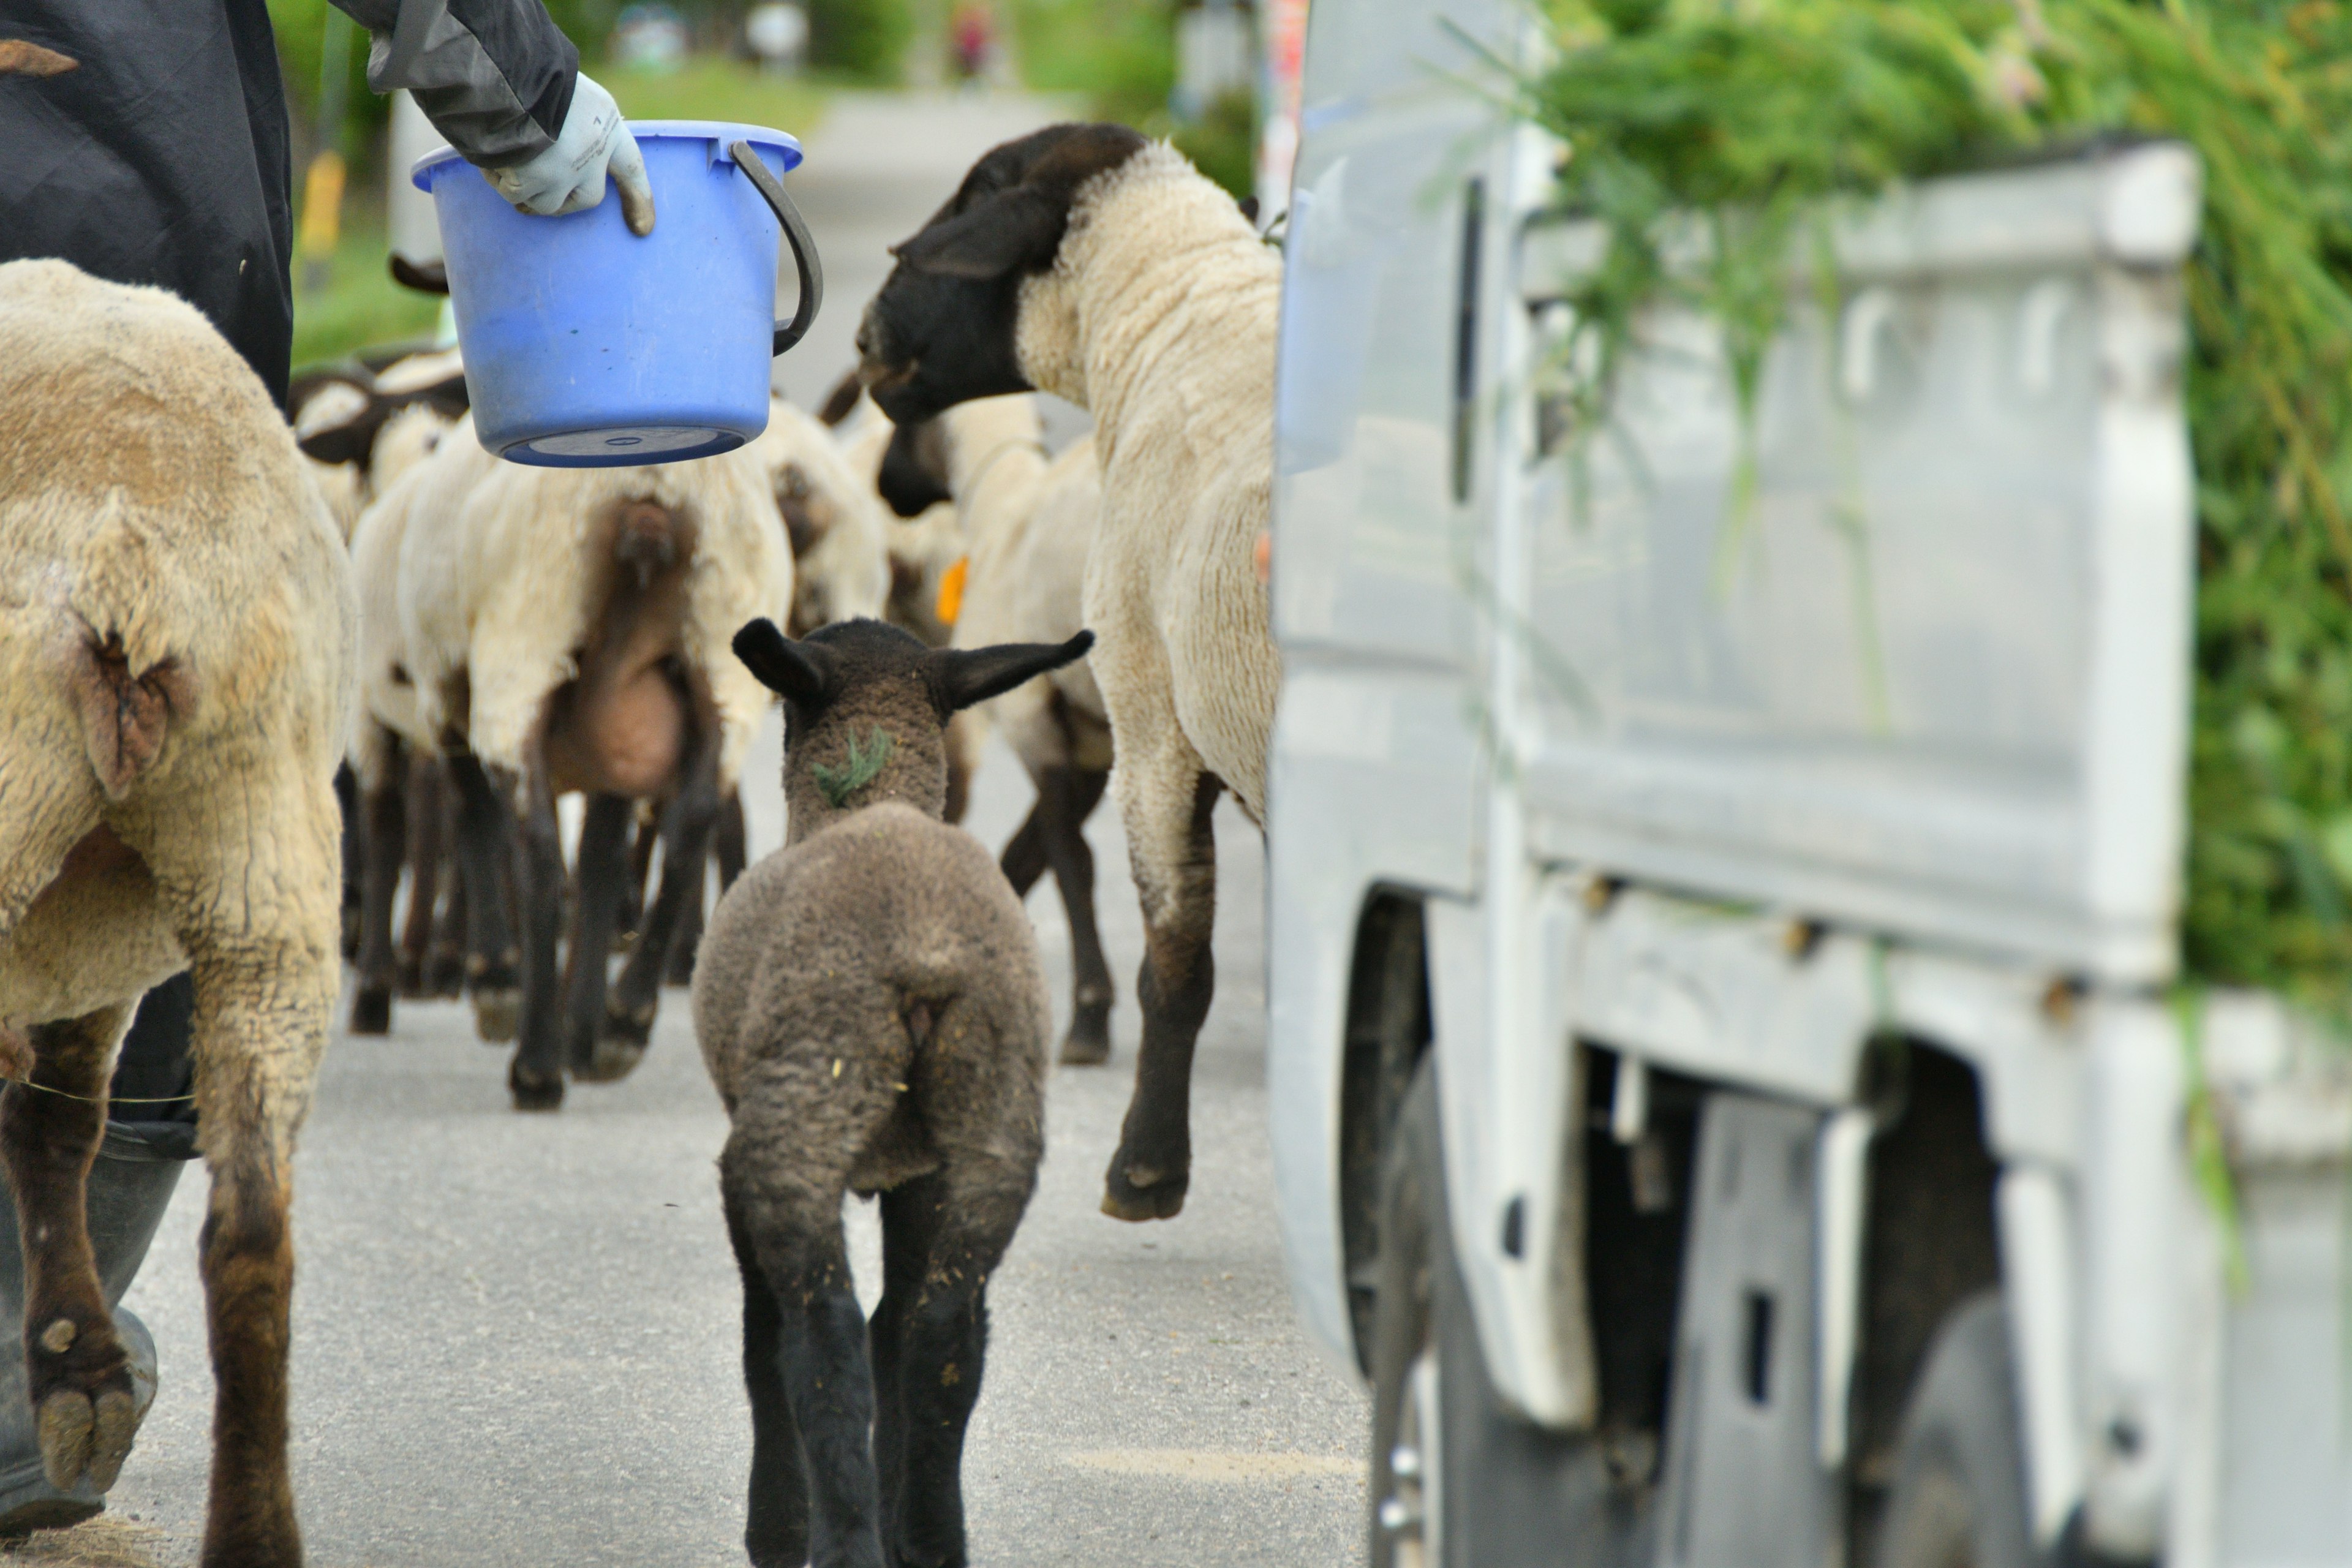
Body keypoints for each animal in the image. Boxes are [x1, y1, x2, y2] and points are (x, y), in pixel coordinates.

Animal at [0, 261, 353, 1568]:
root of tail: (128, 548)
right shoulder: (87, 956)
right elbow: (55, 1127)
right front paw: (80, 1382)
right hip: (264, 869)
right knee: (248, 1230)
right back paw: (251, 1533)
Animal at [691, 620, 1087, 1568]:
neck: (870, 794)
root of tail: (924, 958)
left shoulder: (742, 1161)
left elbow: (766, 1338)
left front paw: (779, 1526)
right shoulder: (917, 1179)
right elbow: (902, 1326)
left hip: (798, 1116)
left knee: (820, 1337)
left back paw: (826, 1536)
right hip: (987, 1131)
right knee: (939, 1331)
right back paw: (931, 1538)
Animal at [856, 126, 1279, 1222]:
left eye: (971, 199)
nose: (865, 339)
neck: (1176, 324)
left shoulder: (1152, 722)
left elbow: (1176, 959)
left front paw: (1145, 1172)